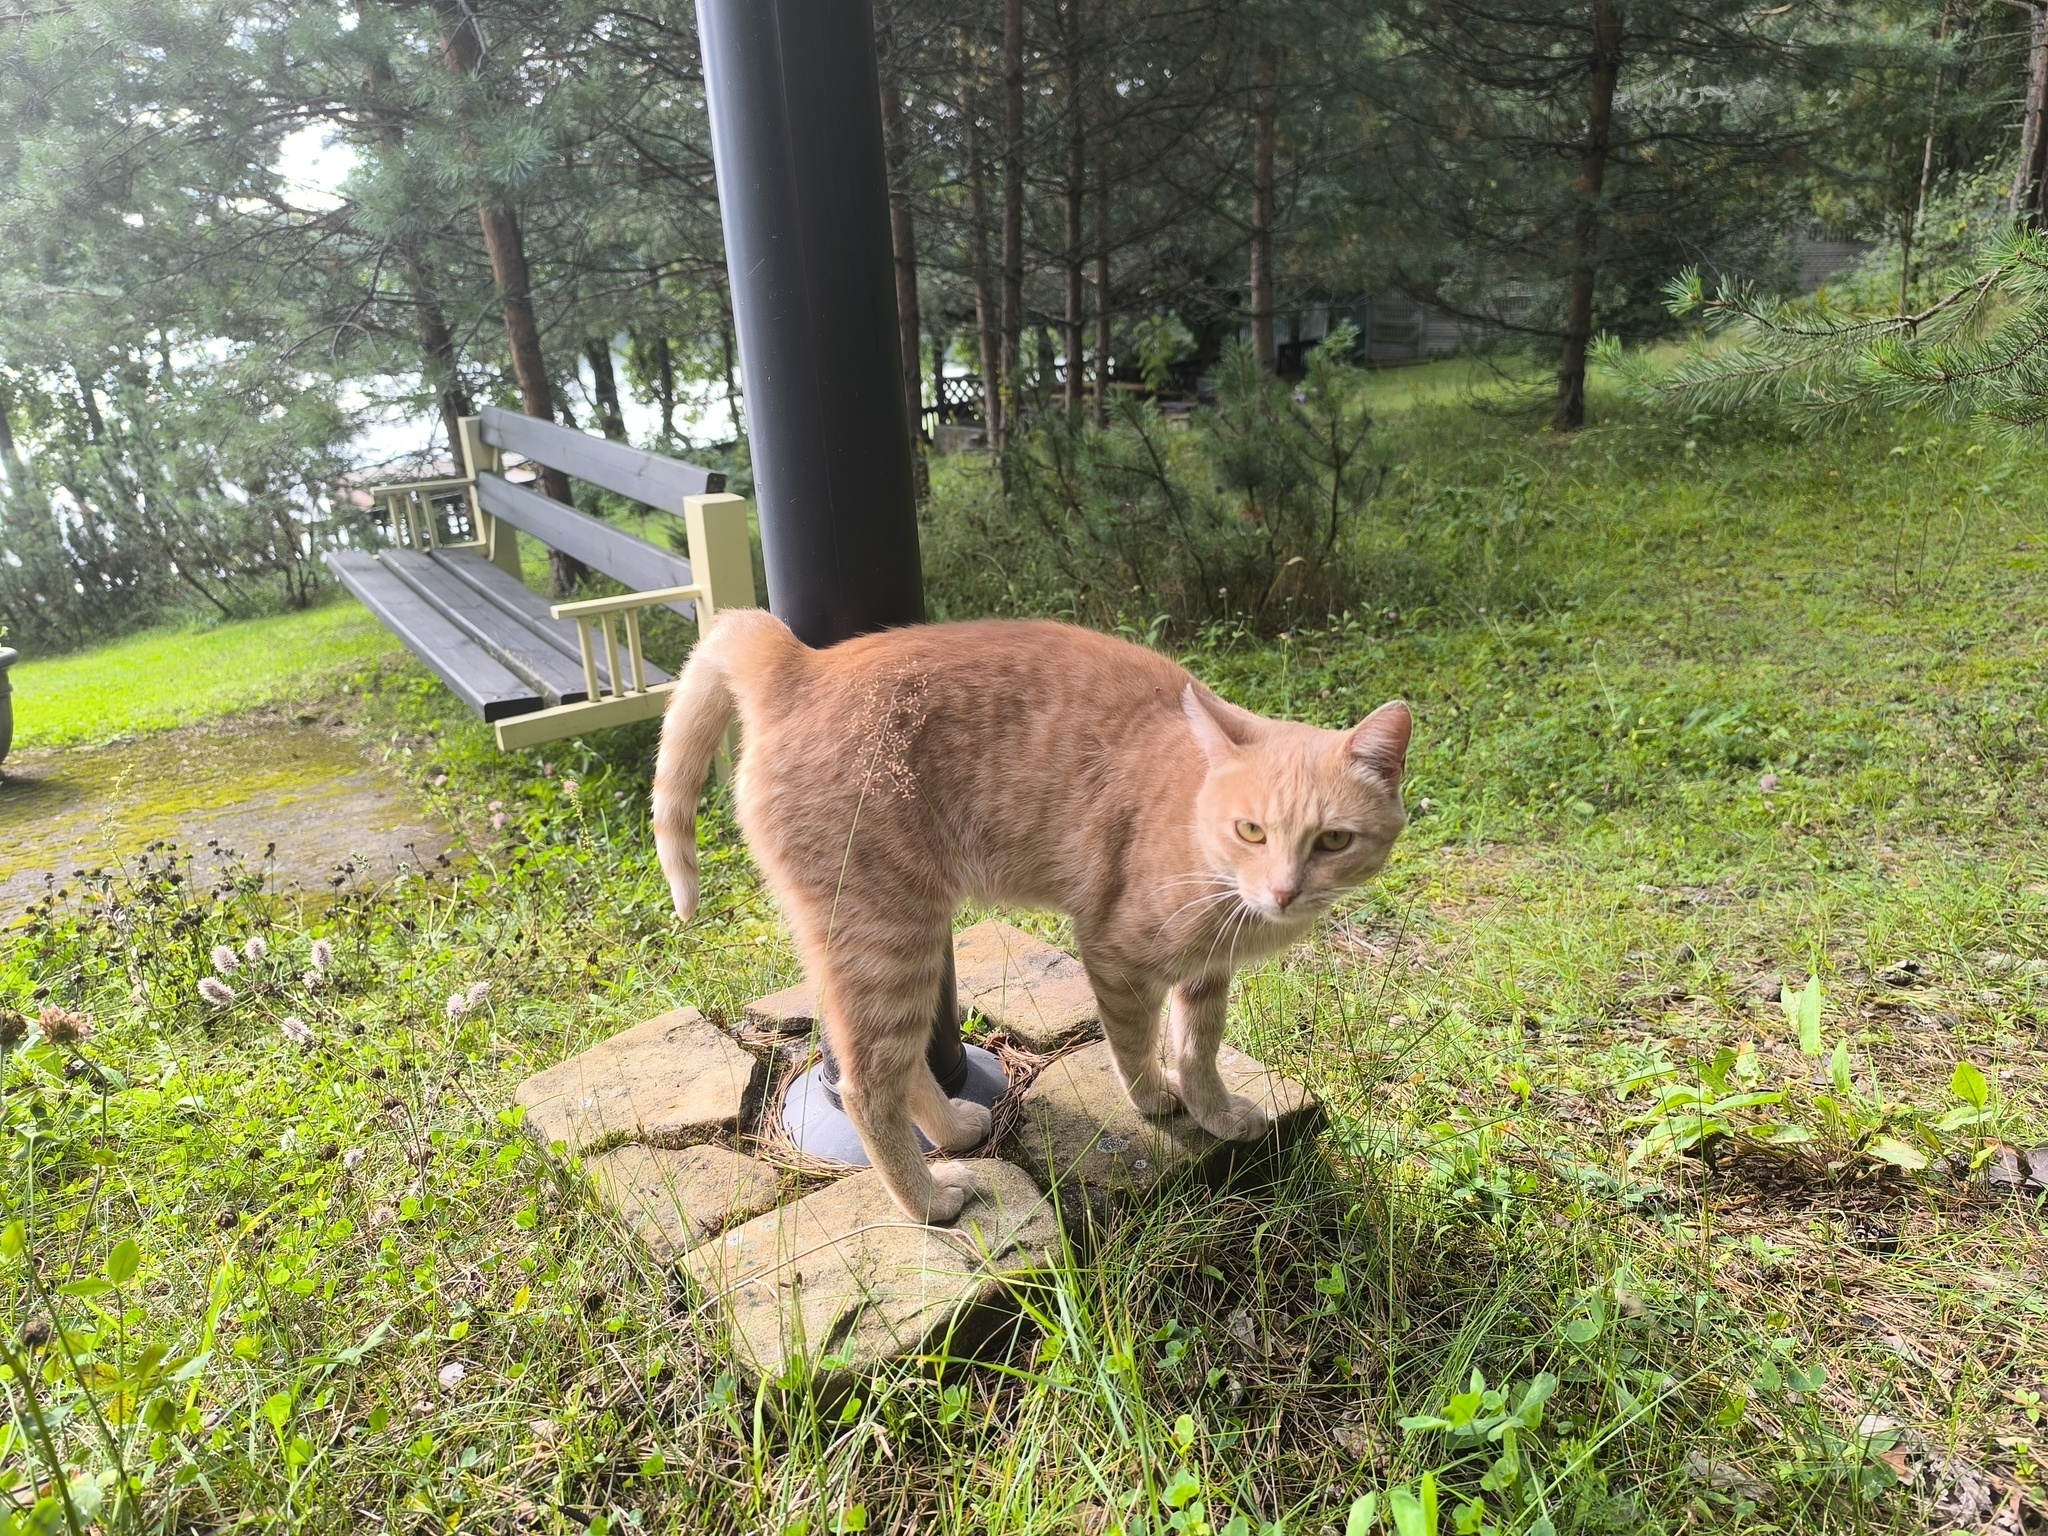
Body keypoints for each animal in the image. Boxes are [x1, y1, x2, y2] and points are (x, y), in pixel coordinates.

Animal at [655, 614, 1409, 1228]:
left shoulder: (1206, 972)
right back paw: (928, 1199)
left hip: (886, 942)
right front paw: (1156, 1101)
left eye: (1333, 841)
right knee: (867, 1084)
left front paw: (1214, 1112)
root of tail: (799, 663)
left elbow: (1199, 1046)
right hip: (891, 937)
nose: (1283, 892)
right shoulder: (1114, 952)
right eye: (1251, 830)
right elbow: (1139, 1043)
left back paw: (951, 1130)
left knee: (892, 1063)